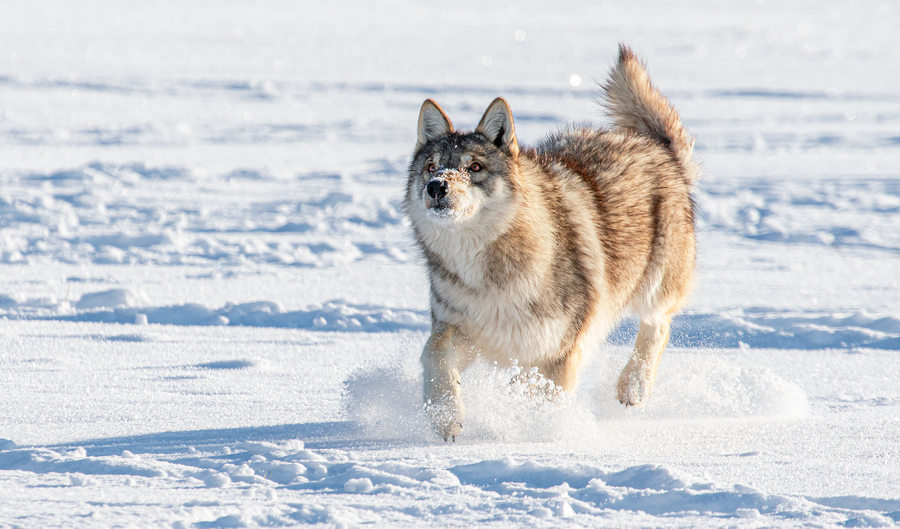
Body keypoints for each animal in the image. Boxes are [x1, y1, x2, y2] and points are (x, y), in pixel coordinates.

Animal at [406, 46, 696, 442]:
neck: (488, 273)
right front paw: (446, 418)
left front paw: (541, 432)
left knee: (659, 326)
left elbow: (541, 395)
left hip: (654, 288)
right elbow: (433, 355)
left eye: (475, 167)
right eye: (432, 166)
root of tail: (655, 146)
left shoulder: (560, 348)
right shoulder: (459, 330)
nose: (436, 187)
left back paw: (633, 387)